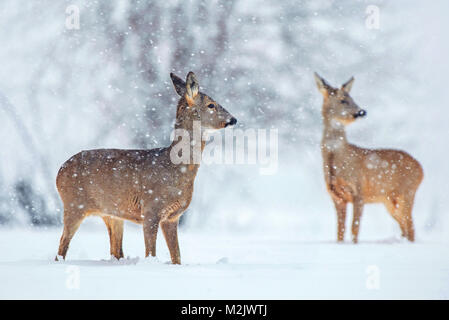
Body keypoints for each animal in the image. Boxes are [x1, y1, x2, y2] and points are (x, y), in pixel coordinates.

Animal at [55, 71, 236, 264]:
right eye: (211, 104)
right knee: (61, 248)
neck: (175, 170)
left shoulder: (172, 217)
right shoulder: (150, 209)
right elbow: (151, 252)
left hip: (112, 214)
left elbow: (177, 256)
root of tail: (59, 173)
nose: (233, 119)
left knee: (116, 251)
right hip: (74, 203)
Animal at [314, 72, 422, 242]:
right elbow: (340, 231)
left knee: (410, 227)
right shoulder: (336, 197)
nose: (361, 112)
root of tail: (422, 169)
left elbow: (354, 228)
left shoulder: (359, 190)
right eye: (343, 100)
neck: (336, 162)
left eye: (352, 98)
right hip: (390, 201)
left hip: (407, 192)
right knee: (405, 227)